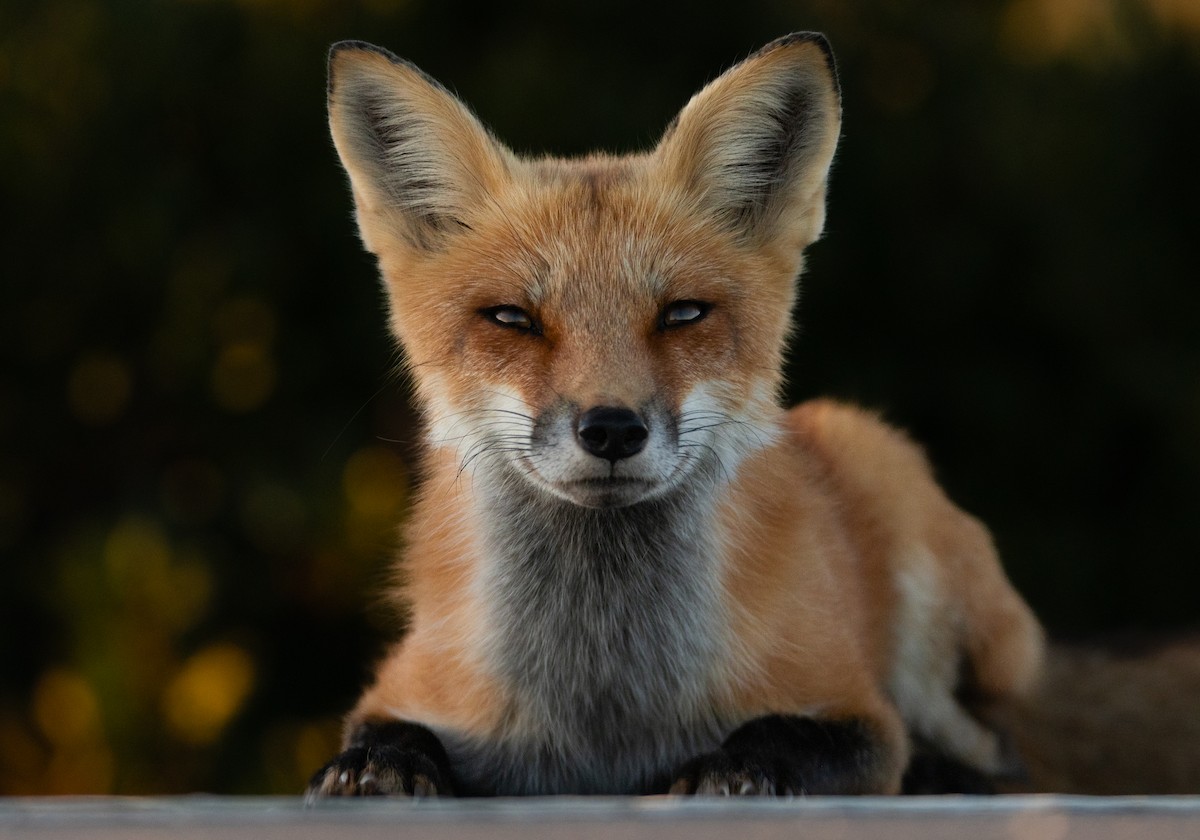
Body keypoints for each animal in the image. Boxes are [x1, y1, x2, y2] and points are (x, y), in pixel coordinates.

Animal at [306, 33, 1045, 799]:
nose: (612, 429)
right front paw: (379, 763)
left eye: (683, 314)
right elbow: (390, 734)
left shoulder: (857, 711)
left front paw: (732, 765)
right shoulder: (405, 688)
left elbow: (784, 732)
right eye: (512, 319)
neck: (606, 705)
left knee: (1002, 753)